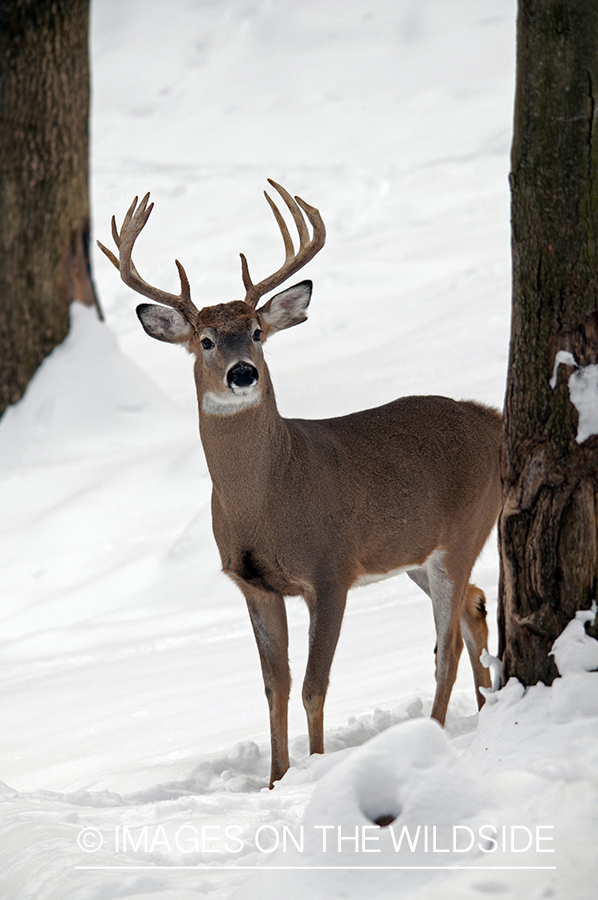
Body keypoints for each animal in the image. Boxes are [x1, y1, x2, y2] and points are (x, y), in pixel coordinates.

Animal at [101, 183, 504, 788]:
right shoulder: (254, 584)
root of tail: (496, 421)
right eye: (205, 340)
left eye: (258, 333)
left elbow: (315, 685)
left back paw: (435, 734)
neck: (269, 500)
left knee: (448, 644)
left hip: (462, 532)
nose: (244, 373)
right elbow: (276, 687)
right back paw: (483, 711)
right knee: (475, 608)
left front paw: (314, 769)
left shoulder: (331, 568)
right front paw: (274, 781)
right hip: (414, 553)